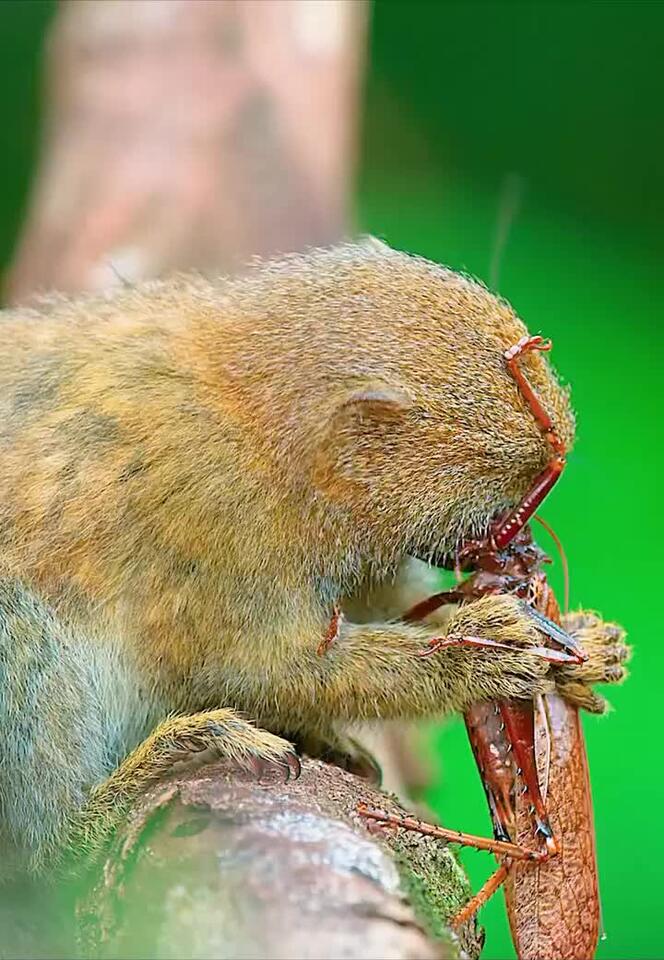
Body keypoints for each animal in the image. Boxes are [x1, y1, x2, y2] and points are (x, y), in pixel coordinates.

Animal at [0, 239, 627, 876]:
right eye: (499, 510)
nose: (518, 546)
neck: (259, 424)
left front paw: (582, 646)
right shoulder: (218, 508)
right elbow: (256, 668)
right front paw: (473, 656)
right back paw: (119, 795)